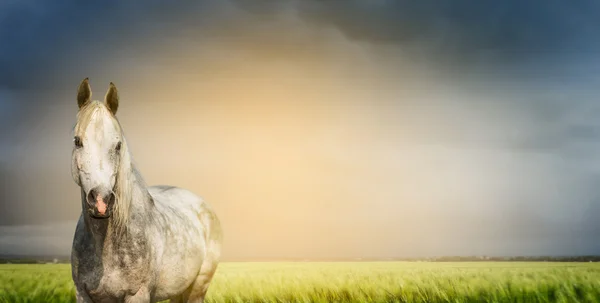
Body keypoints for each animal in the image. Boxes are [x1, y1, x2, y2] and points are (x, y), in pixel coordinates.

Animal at [69, 79, 221, 303]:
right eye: (77, 141)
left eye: (118, 145)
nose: (101, 201)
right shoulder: (83, 295)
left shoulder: (137, 295)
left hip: (198, 288)